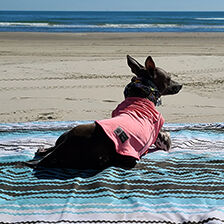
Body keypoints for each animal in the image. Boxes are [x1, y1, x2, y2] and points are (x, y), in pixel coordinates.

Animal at [25, 55, 182, 170]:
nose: (180, 85)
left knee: (45, 151)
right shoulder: (163, 139)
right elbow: (167, 137)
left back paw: (42, 150)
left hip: (66, 135)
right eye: (169, 78)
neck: (143, 93)